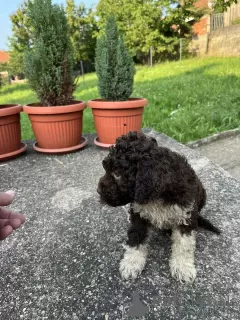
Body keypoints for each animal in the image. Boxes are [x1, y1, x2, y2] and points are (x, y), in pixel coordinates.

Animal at [96, 131, 220, 284]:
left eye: (117, 174)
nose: (98, 191)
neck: (157, 196)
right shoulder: (139, 215)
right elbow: (136, 238)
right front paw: (131, 263)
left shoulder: (186, 214)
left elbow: (184, 245)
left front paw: (183, 268)